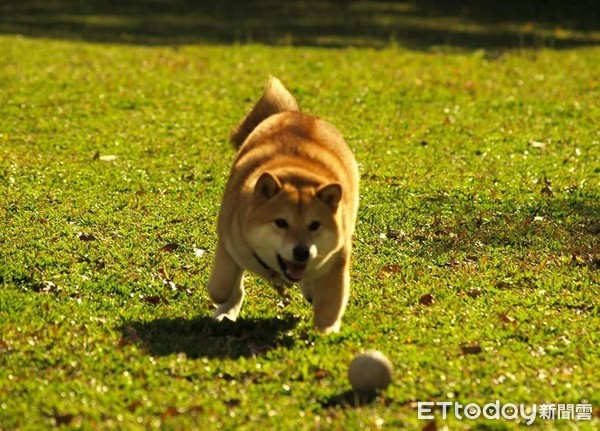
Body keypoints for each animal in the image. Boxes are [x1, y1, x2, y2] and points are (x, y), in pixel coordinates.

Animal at [207, 77, 356, 334]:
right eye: (281, 223)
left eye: (314, 225)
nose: (302, 251)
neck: (297, 176)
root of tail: (297, 114)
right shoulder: (229, 240)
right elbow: (223, 287)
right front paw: (225, 306)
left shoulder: (338, 257)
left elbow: (330, 304)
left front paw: (325, 330)